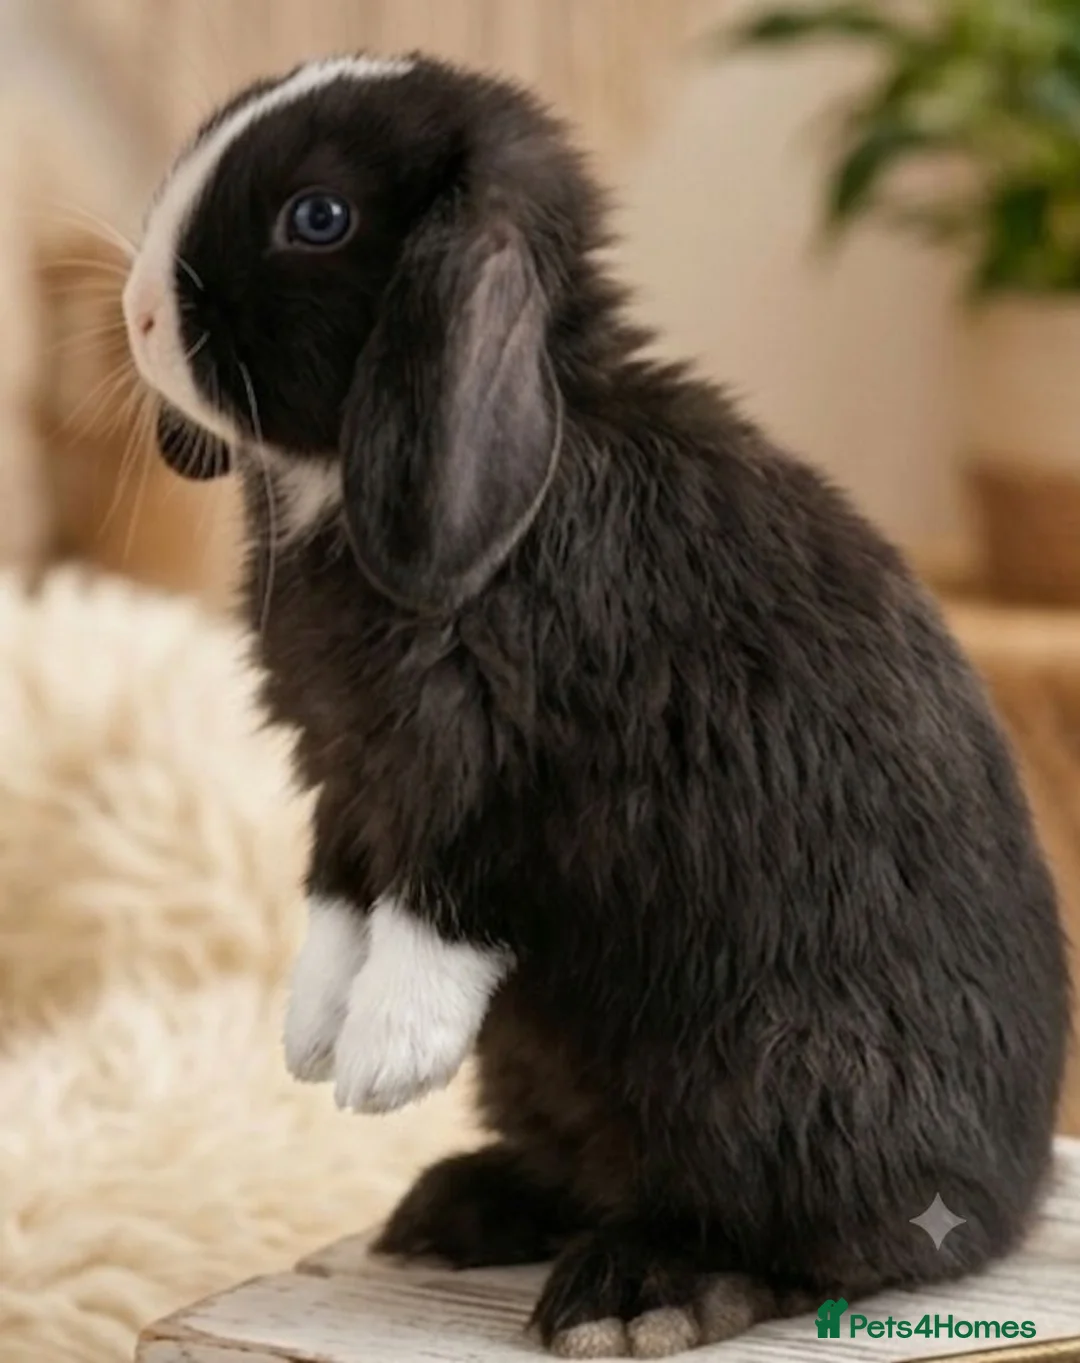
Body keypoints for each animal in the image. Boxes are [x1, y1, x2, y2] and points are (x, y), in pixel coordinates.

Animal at [122, 54, 1071, 1359]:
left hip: (773, 1072)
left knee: (819, 1237)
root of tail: (1014, 1187)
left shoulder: (524, 777)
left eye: (316, 217)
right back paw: (457, 1206)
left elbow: (442, 901)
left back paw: (644, 1289)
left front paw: (383, 1058)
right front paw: (309, 1031)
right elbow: (337, 891)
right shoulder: (348, 775)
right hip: (550, 1072)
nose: (138, 313)